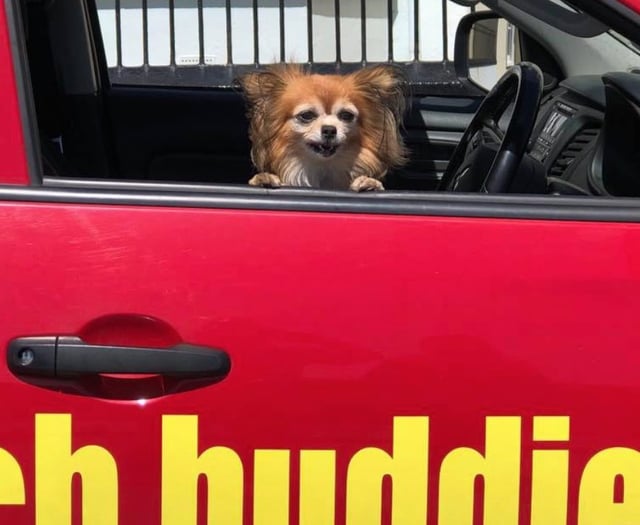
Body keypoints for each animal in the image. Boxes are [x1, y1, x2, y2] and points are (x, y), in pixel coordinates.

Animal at [240, 63, 404, 190]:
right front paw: (263, 179)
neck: (323, 169)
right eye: (307, 115)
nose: (329, 129)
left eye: (346, 115)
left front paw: (370, 183)